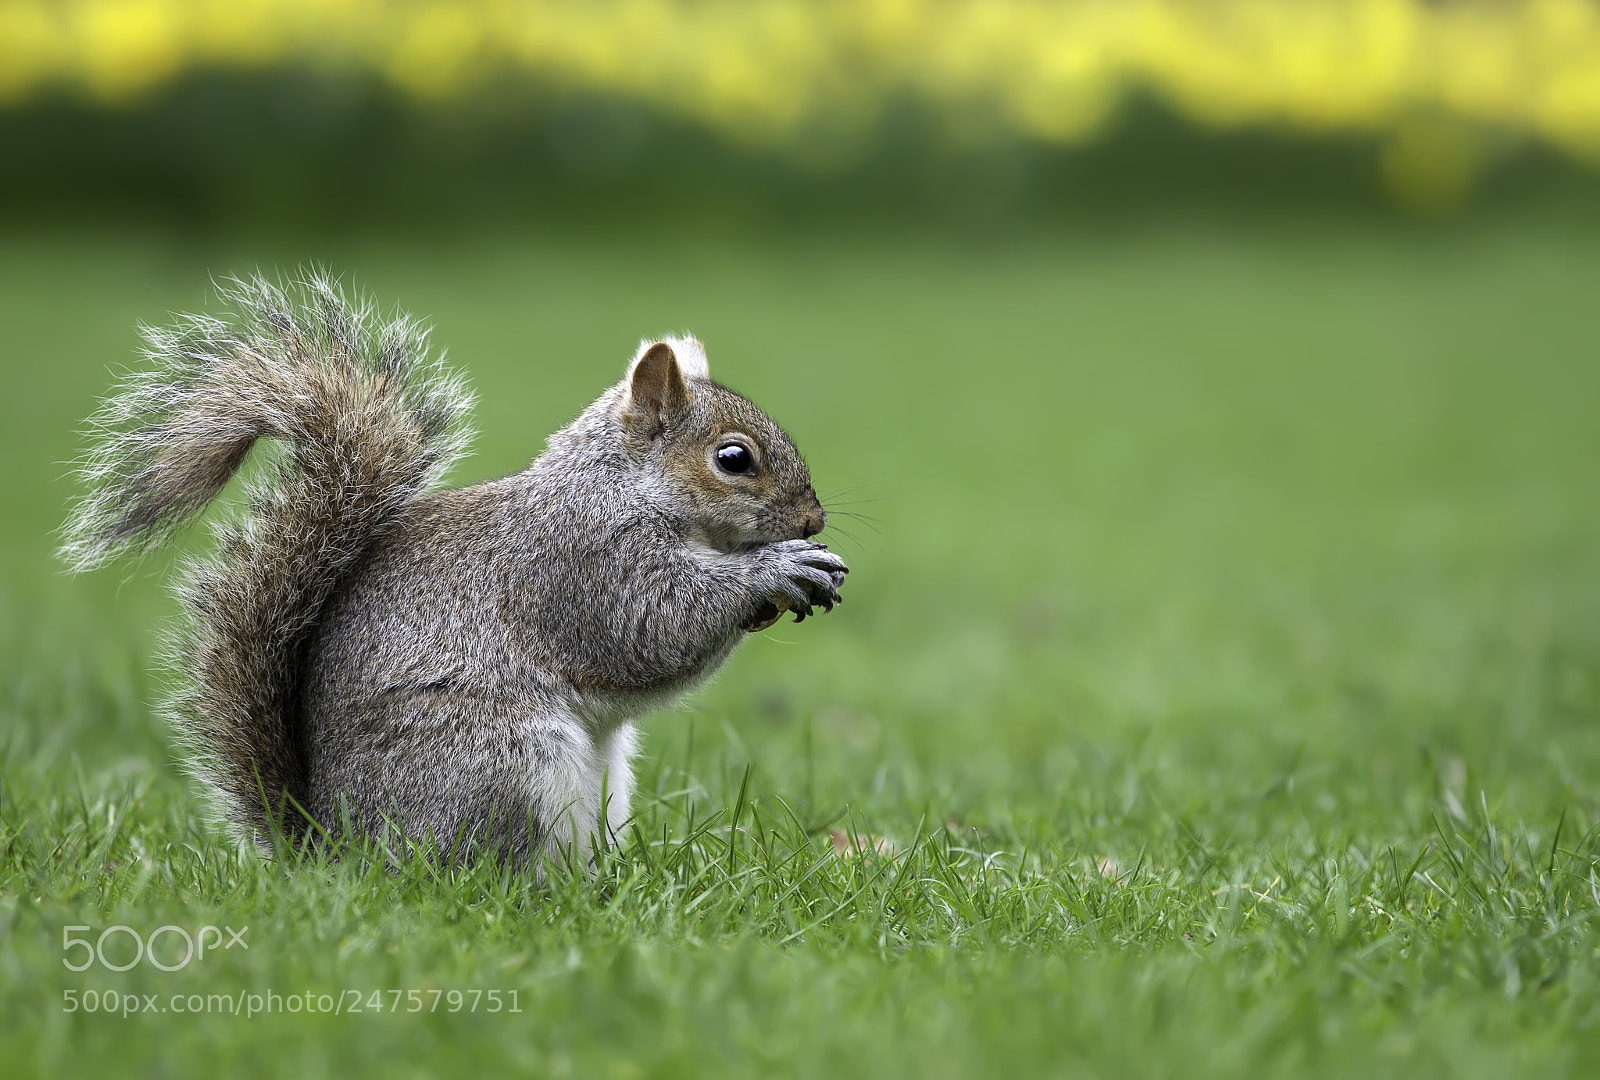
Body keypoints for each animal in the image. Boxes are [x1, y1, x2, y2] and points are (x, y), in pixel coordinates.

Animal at [59, 272, 851, 870]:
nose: (813, 521)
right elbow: (653, 626)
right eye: (733, 458)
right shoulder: (582, 562)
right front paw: (777, 570)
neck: (619, 486)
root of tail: (337, 854)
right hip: (499, 762)